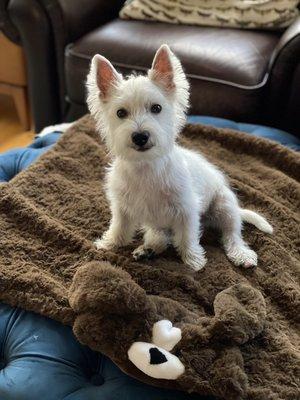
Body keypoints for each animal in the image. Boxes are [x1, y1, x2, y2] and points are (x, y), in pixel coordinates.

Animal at [86, 44, 272, 272]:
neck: (146, 167)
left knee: (232, 234)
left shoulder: (186, 210)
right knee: (160, 237)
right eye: (121, 113)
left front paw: (193, 260)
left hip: (224, 206)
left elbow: (187, 237)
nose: (140, 136)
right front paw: (109, 243)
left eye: (156, 108)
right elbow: (119, 227)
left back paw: (241, 254)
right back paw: (148, 249)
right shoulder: (122, 207)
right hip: (158, 222)